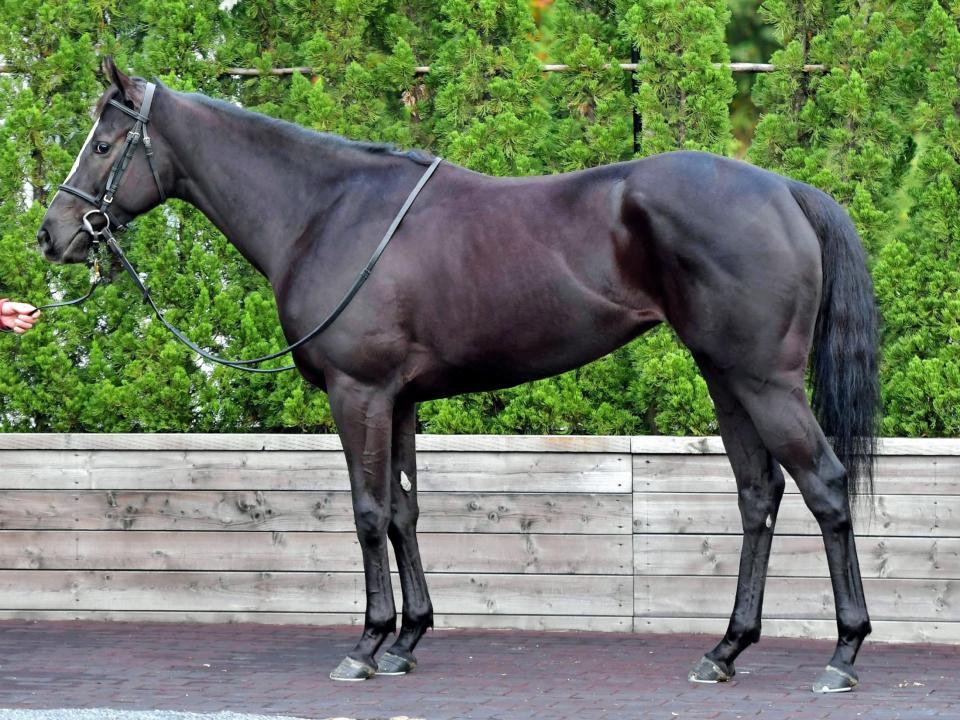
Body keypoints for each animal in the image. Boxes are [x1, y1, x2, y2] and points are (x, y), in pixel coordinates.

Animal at [37, 58, 879, 693]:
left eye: (105, 143)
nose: (53, 235)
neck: (326, 211)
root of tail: (786, 190)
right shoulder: (400, 400)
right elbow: (405, 513)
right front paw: (408, 640)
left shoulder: (359, 393)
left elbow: (368, 512)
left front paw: (367, 645)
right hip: (725, 376)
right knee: (758, 495)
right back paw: (725, 649)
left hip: (765, 381)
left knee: (826, 487)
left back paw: (843, 655)